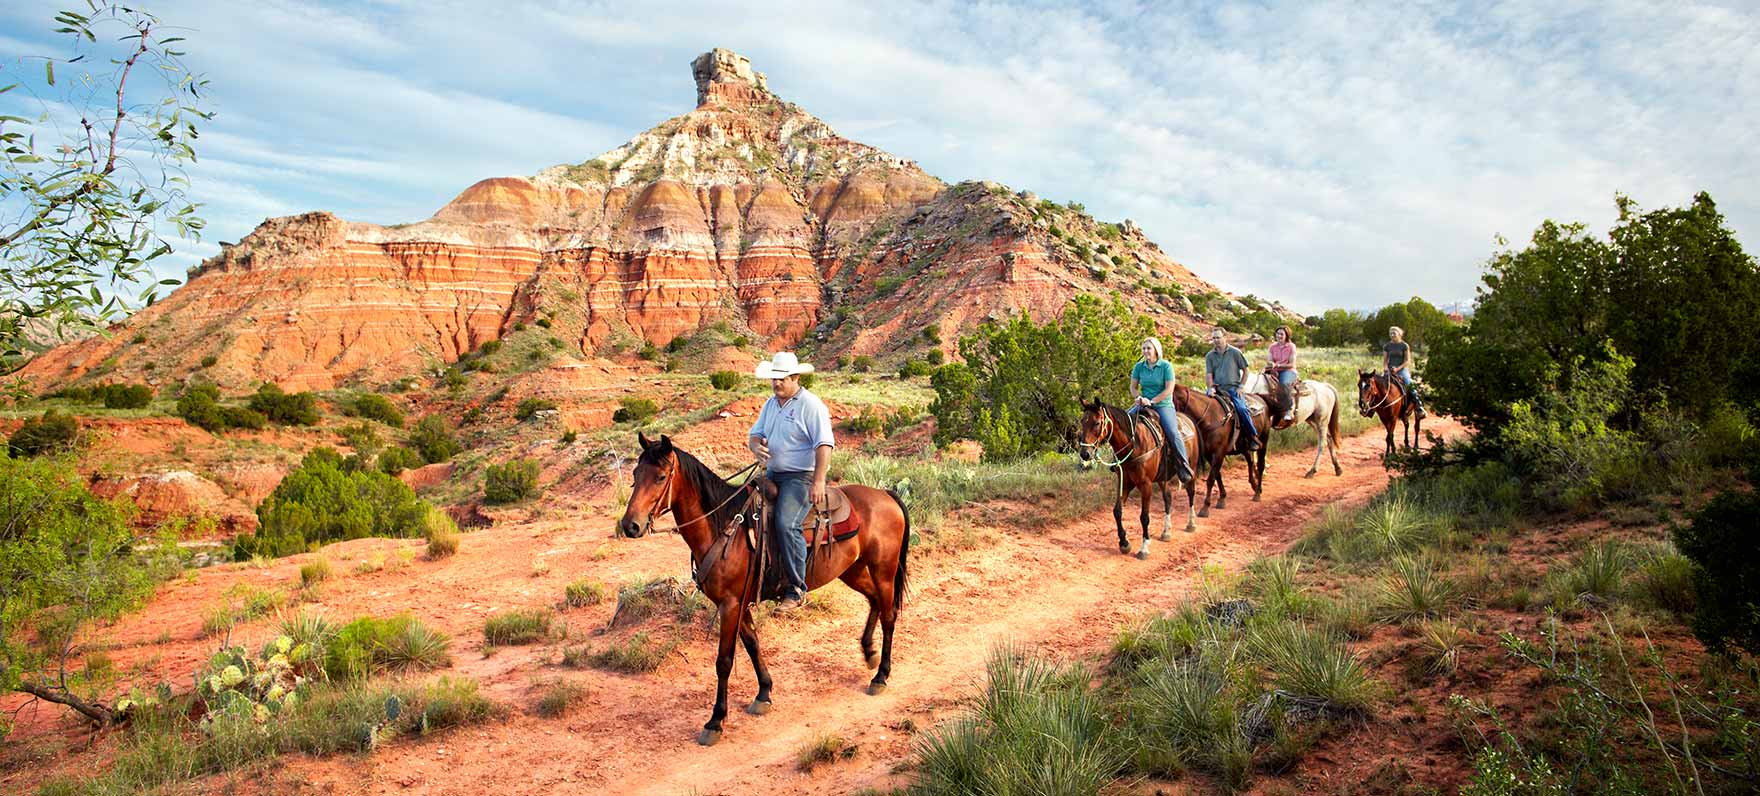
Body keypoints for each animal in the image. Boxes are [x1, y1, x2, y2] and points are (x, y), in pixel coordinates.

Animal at [616, 431, 915, 743]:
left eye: (661, 476)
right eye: (636, 474)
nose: (630, 525)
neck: (724, 527)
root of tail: (886, 495)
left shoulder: (730, 604)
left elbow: (724, 661)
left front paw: (716, 721)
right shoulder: (737, 603)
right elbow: (752, 644)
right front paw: (764, 693)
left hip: (883, 570)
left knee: (889, 615)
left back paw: (880, 675)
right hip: (853, 570)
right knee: (874, 601)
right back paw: (869, 653)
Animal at [1077, 398, 1203, 560]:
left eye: (1097, 423)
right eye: (1082, 421)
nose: (1084, 453)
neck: (1135, 444)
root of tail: (1189, 420)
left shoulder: (1146, 485)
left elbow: (1144, 517)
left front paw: (1144, 548)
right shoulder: (1124, 482)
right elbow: (1117, 511)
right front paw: (1124, 543)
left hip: (1191, 468)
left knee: (1191, 493)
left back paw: (1191, 524)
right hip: (1162, 478)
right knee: (1168, 497)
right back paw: (1166, 532)